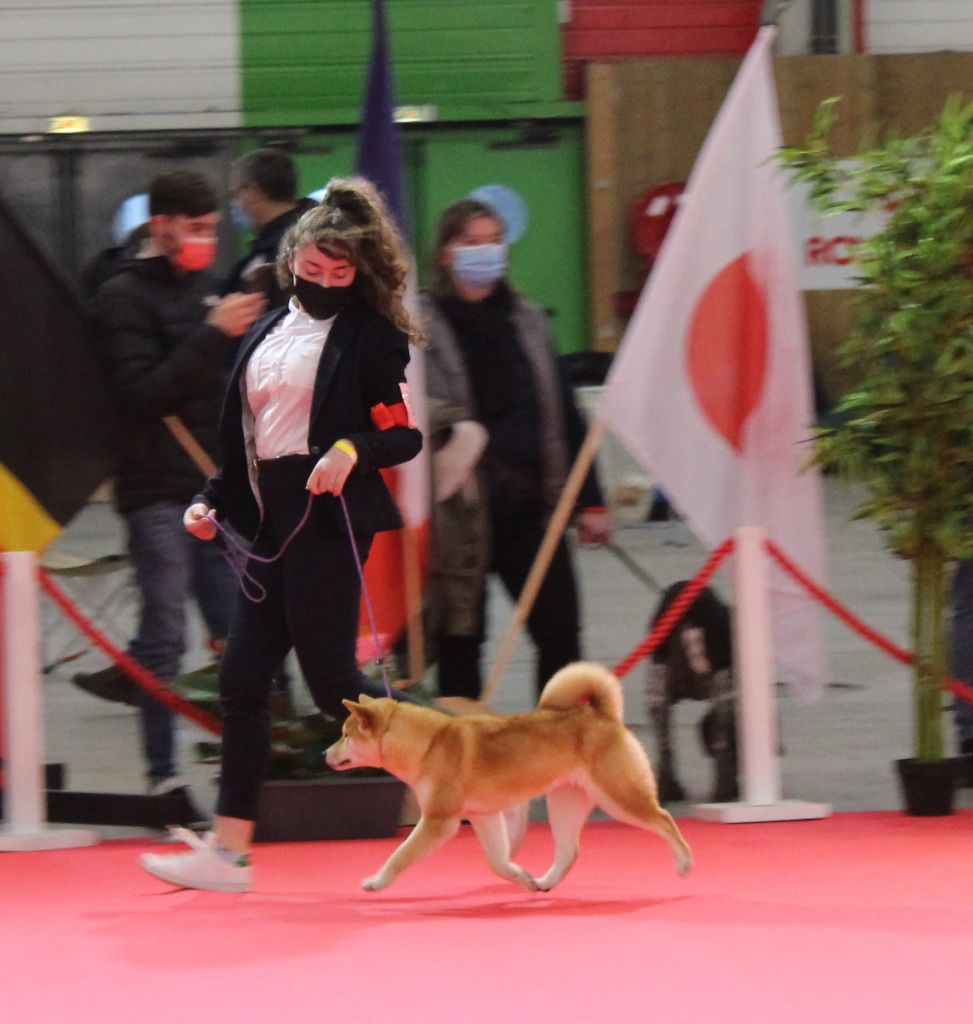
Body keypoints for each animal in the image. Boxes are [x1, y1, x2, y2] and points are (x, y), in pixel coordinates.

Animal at [325, 663, 692, 888]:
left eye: (344, 734)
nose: (325, 754)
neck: (427, 744)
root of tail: (602, 715)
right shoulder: (484, 816)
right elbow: (497, 862)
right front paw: (521, 877)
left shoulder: (439, 821)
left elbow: (399, 855)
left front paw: (376, 882)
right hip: (566, 803)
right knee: (569, 851)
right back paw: (544, 882)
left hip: (619, 797)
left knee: (663, 818)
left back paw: (684, 863)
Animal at [647, 581, 737, 802]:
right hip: (723, 685)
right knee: (720, 738)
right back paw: (723, 792)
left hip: (658, 681)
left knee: (664, 742)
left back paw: (668, 790)